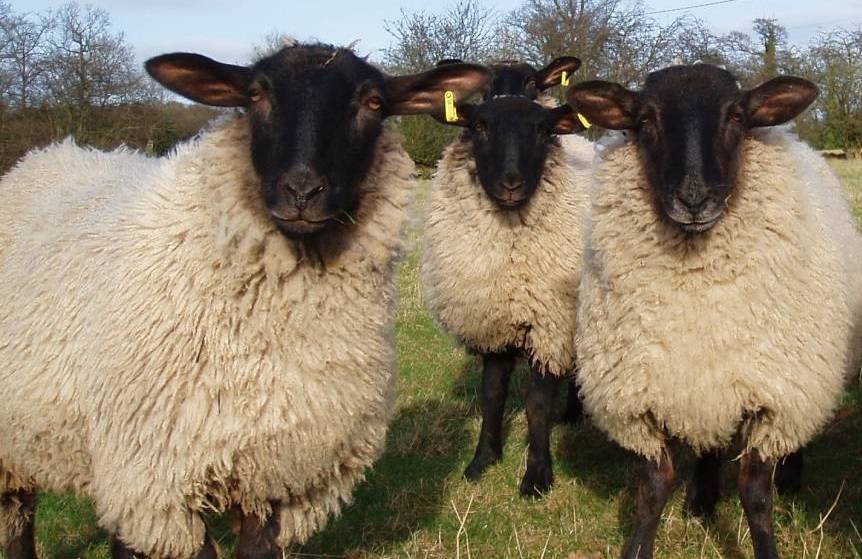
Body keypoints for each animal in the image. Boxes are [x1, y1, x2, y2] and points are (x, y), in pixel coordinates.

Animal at [0, 41, 492, 556]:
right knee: (18, 515)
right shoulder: (164, 484)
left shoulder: (277, 479)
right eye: (255, 94)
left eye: (374, 103)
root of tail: (47, 154)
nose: (302, 190)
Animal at [568, 63, 862, 556]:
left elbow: (755, 494)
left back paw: (791, 475)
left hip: (802, 375)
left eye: (737, 117)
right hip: (707, 386)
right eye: (645, 120)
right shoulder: (640, 398)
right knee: (708, 441)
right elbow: (653, 489)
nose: (694, 199)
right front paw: (640, 543)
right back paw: (702, 499)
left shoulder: (772, 398)